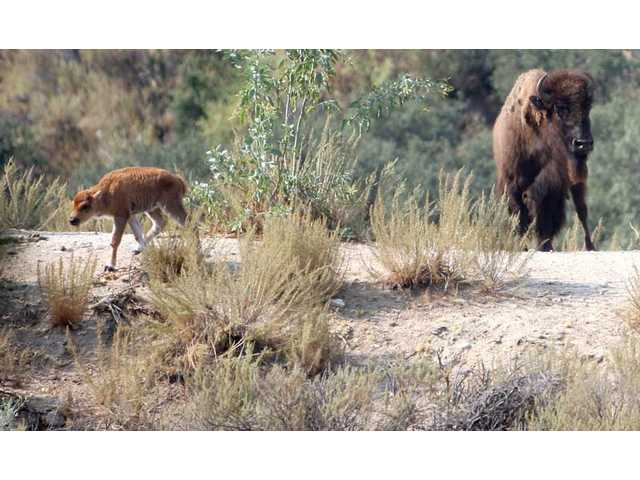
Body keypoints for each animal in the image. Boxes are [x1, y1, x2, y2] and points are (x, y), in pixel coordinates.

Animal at [493, 68, 596, 251]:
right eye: (560, 108)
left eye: (587, 107)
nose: (583, 144)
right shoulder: (511, 180)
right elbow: (518, 212)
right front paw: (523, 246)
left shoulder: (557, 177)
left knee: (580, 209)